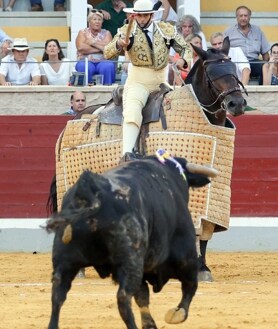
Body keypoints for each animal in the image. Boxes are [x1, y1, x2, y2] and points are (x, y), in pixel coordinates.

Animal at [46, 36, 247, 282]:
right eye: (211, 73)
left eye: (233, 69)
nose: (237, 104)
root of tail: (72, 121)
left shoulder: (213, 189)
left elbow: (206, 230)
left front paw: (203, 269)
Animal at [46, 157, 211, 328]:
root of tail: (89, 192)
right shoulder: (186, 255)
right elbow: (190, 285)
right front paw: (177, 314)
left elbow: (142, 296)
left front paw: (150, 324)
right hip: (131, 260)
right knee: (123, 298)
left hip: (64, 260)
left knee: (57, 293)